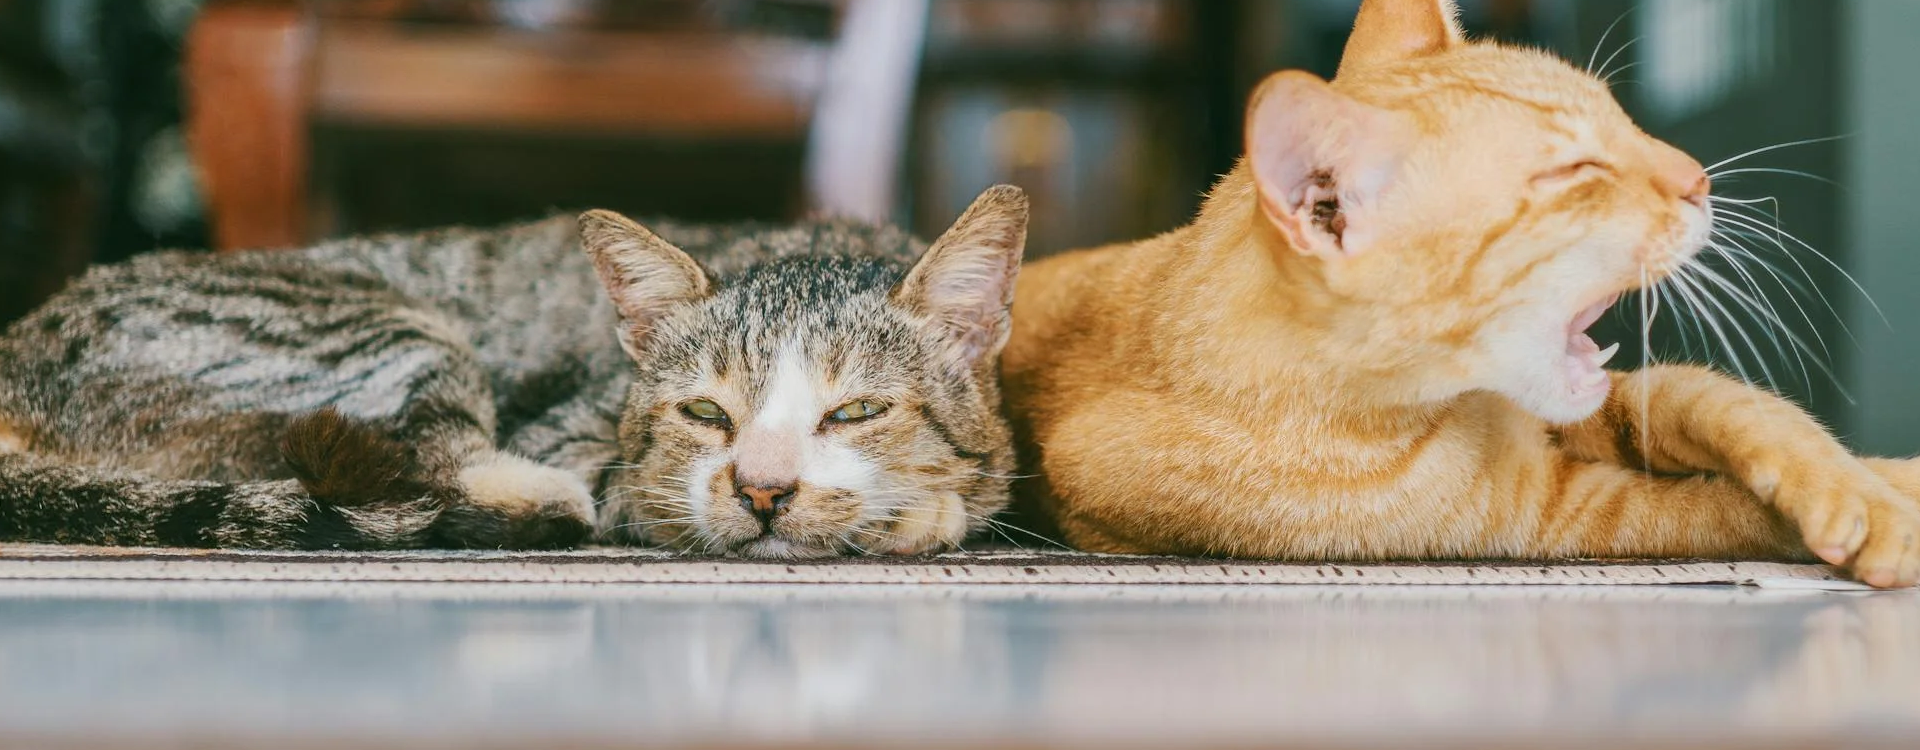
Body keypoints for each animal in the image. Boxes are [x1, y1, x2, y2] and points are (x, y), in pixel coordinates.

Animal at [1006, 0, 1920, 590]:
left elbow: (1725, 403)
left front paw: (1866, 481)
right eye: (1574, 172)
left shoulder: (1609, 410)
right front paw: (1878, 515)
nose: (1699, 178)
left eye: (1623, 122)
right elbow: (1725, 511)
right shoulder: (1561, 519)